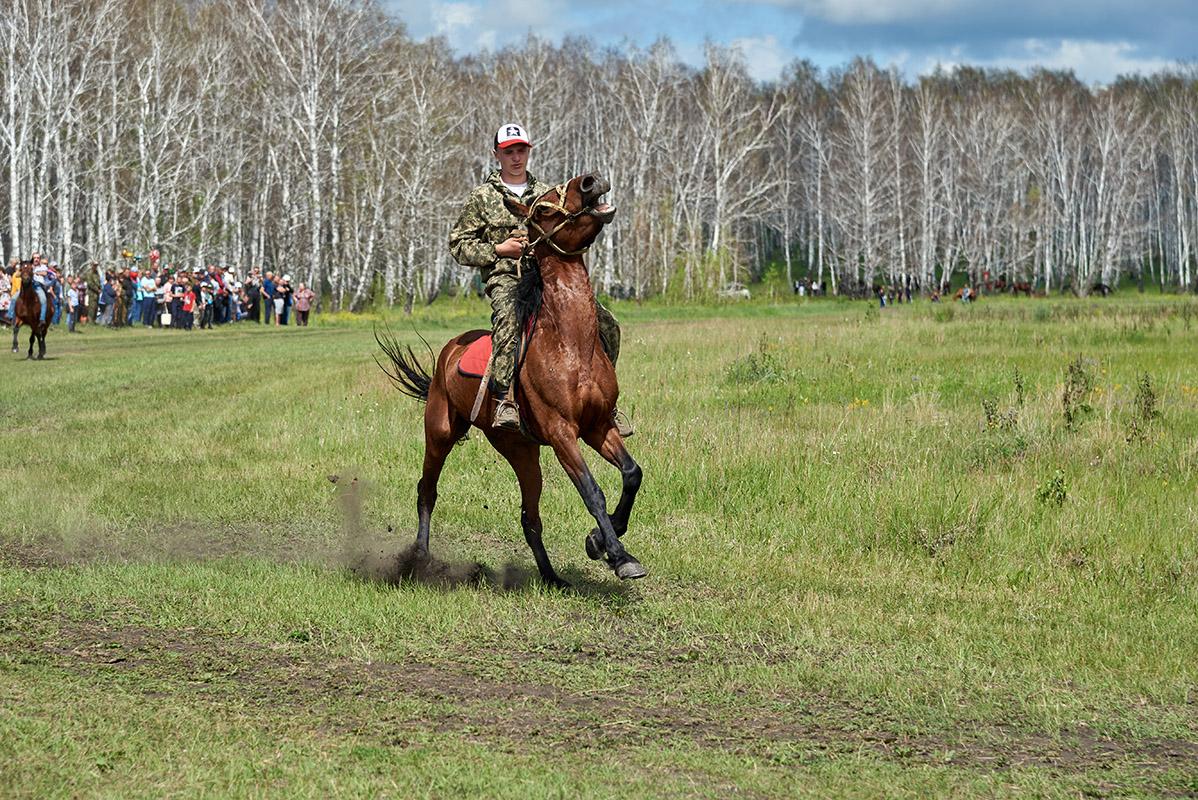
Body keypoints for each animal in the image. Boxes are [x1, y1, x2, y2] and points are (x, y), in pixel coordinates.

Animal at [380, 173, 646, 586]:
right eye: (542, 209)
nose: (591, 181)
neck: (571, 345)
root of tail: (450, 351)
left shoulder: (599, 426)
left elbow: (632, 474)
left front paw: (599, 540)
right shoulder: (562, 434)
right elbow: (593, 492)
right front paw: (617, 554)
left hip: (522, 451)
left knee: (529, 517)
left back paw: (552, 578)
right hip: (440, 432)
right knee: (427, 490)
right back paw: (420, 559)